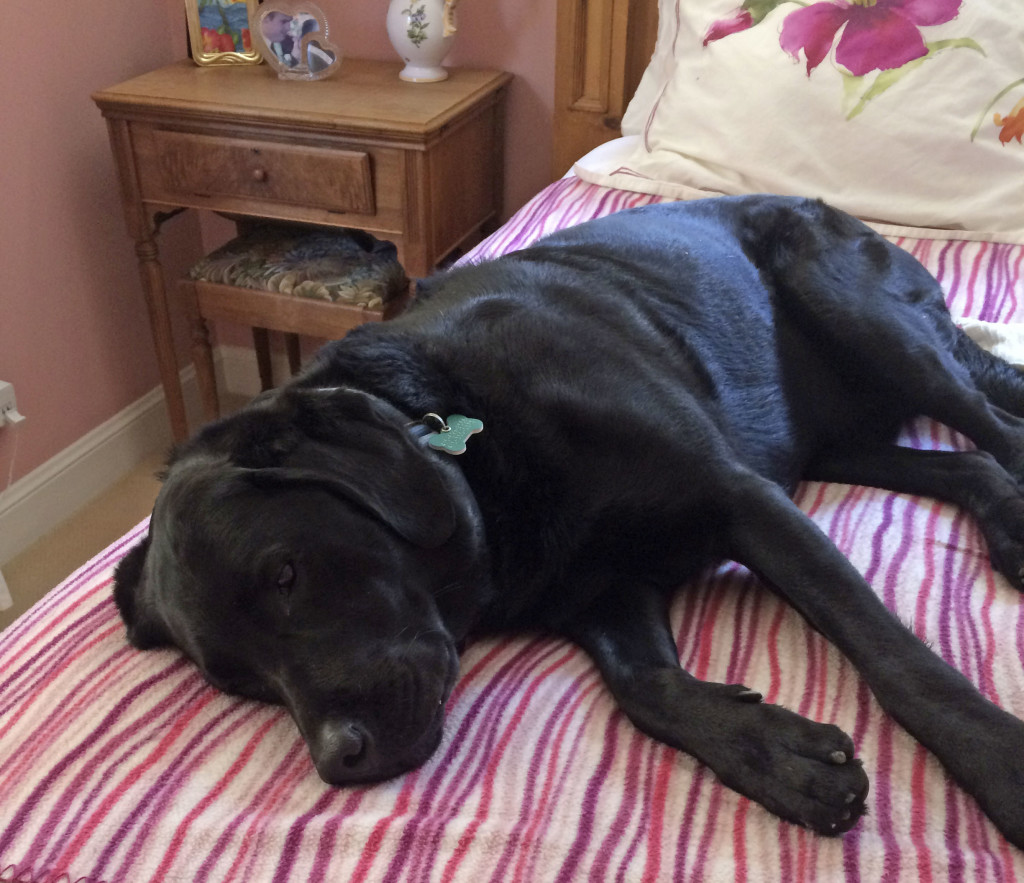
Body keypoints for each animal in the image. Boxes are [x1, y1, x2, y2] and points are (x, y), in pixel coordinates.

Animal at [112, 198, 1024, 852]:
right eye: (241, 684)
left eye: (286, 574)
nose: (341, 759)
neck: (469, 432)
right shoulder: (604, 589)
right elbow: (646, 687)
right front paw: (775, 754)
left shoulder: (741, 495)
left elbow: (892, 654)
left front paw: (996, 758)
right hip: (829, 439)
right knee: (969, 463)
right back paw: (1005, 520)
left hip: (861, 314)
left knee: (991, 423)